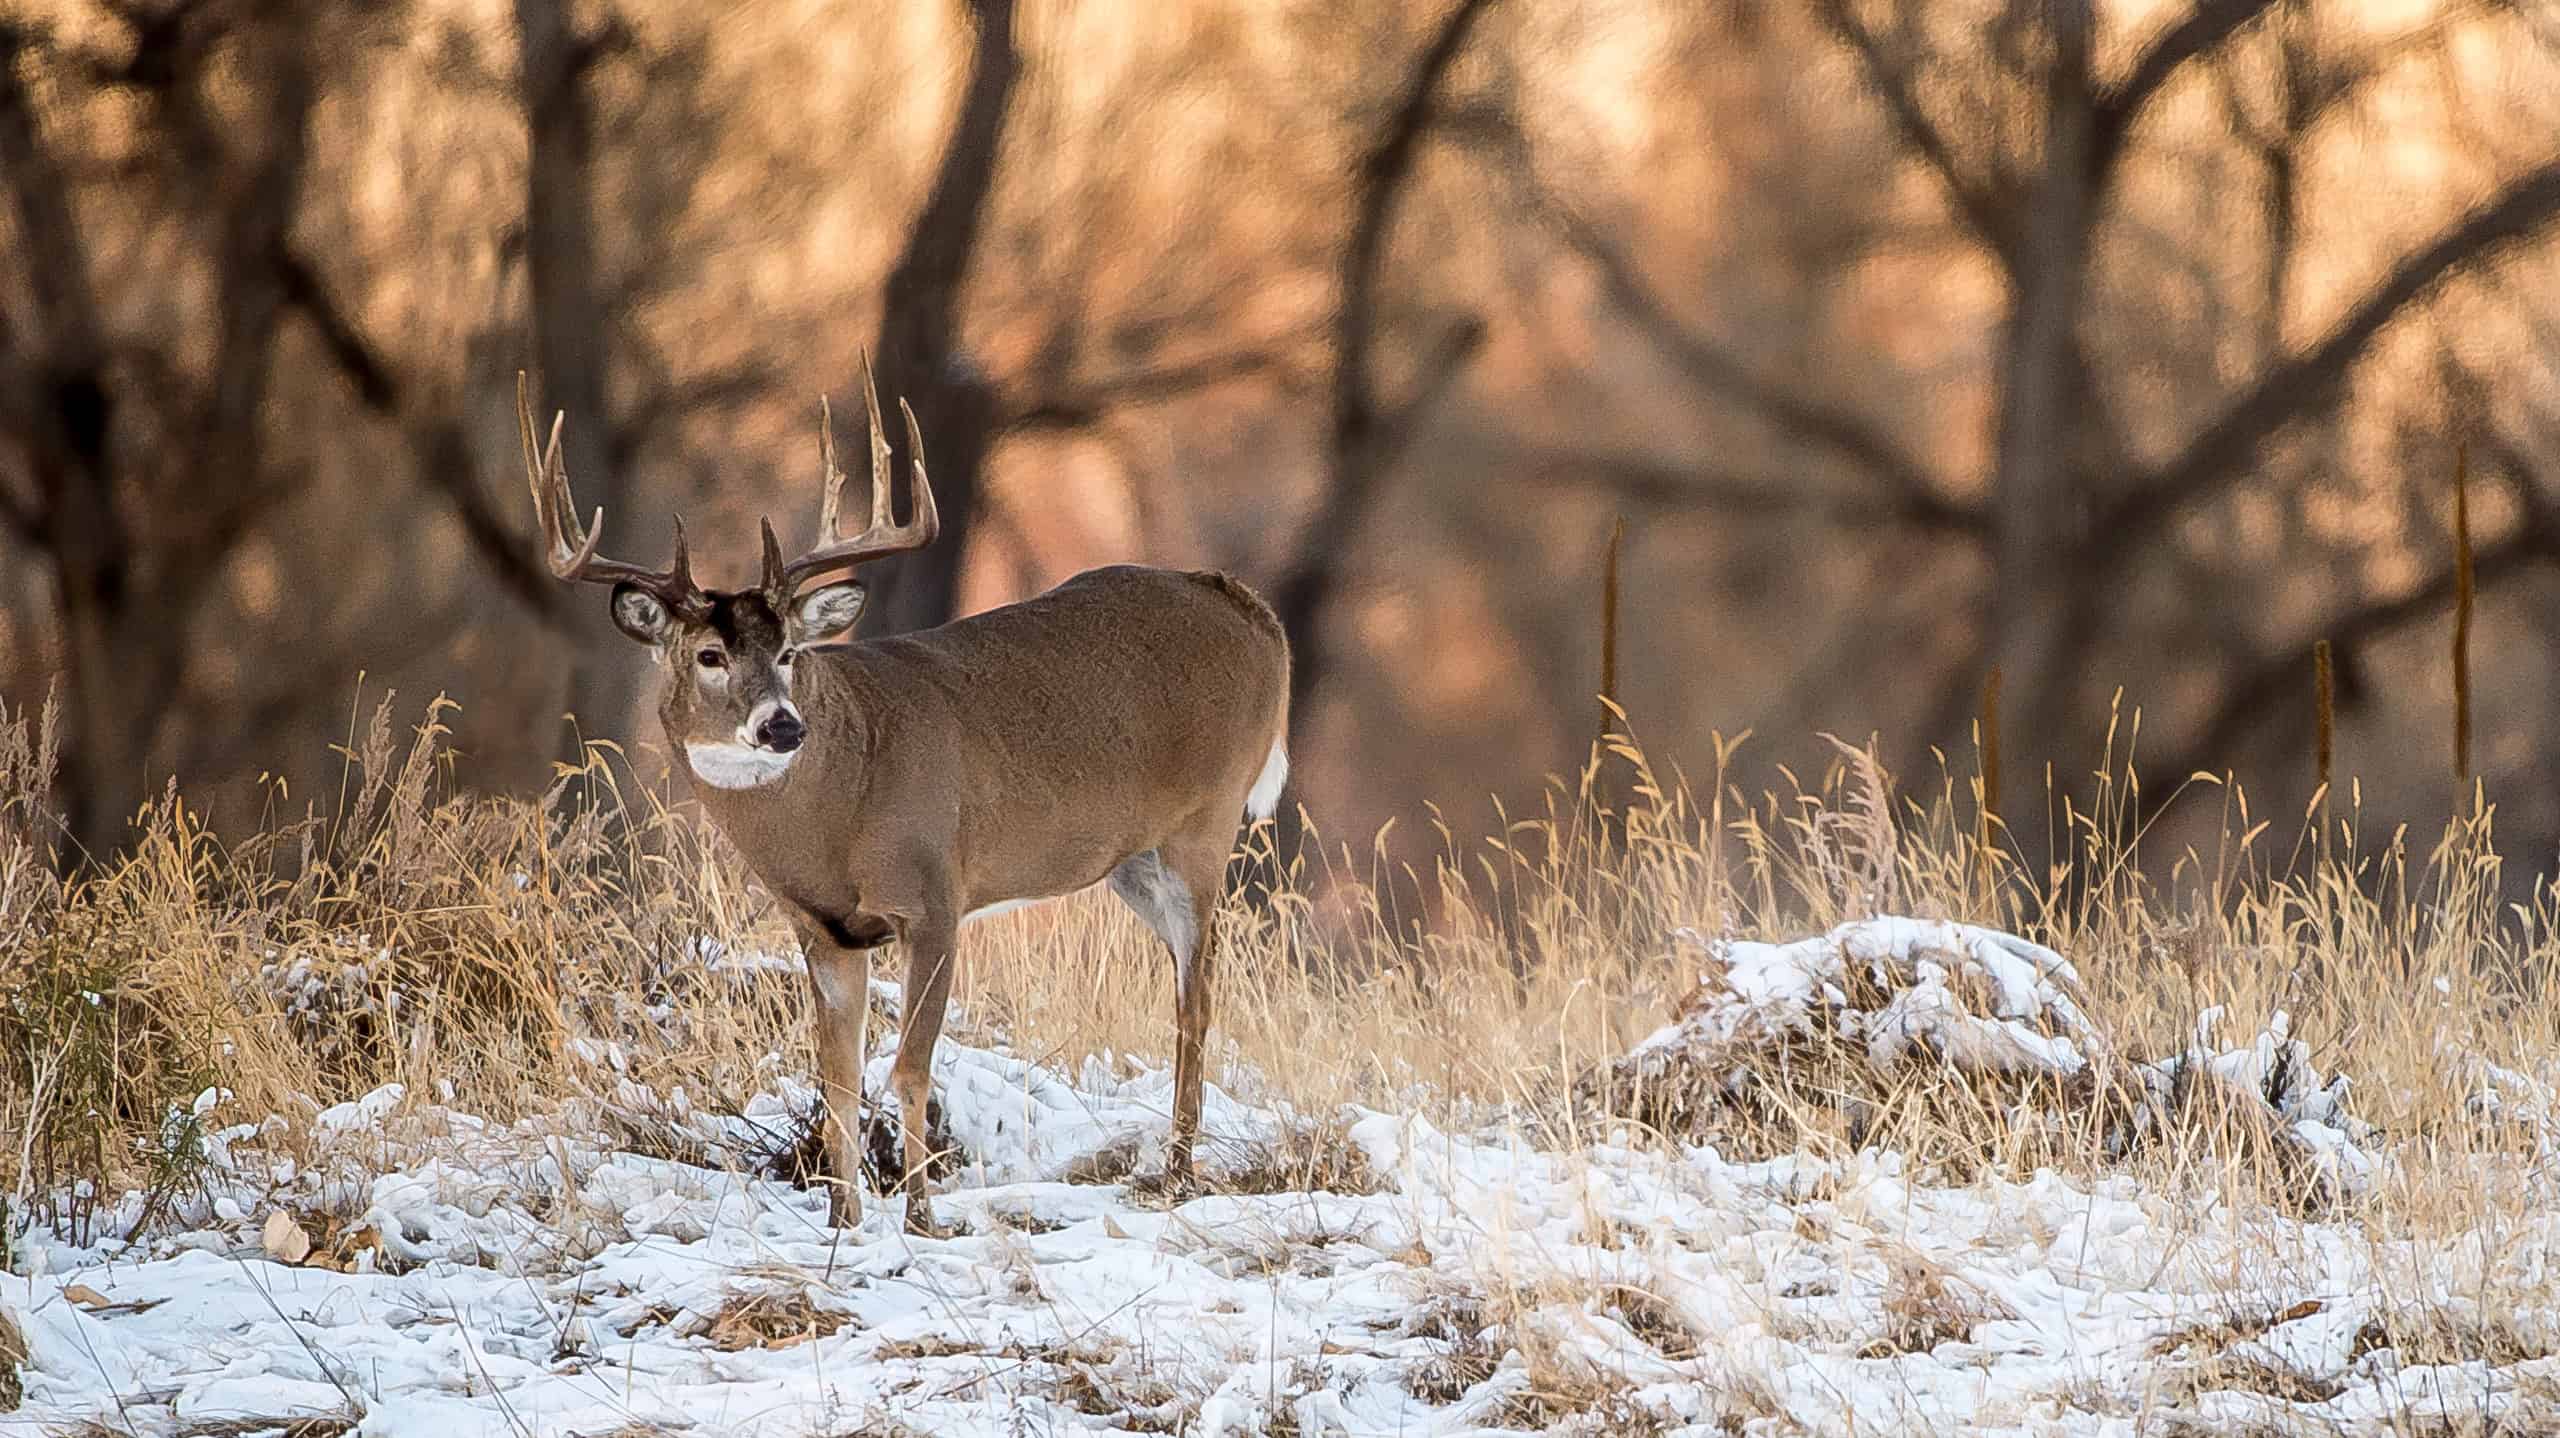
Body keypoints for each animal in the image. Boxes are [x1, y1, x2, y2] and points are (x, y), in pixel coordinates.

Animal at [517, 363, 1290, 1228]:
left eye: (789, 652)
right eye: (710, 655)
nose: (781, 725)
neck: (842, 813)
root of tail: (1250, 607)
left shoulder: (935, 896)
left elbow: (910, 1069)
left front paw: (920, 1214)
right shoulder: (824, 931)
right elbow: (838, 1082)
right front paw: (844, 1218)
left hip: (1206, 822)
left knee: (1197, 1001)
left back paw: (1177, 1174)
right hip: (1132, 859)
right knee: (1191, 990)